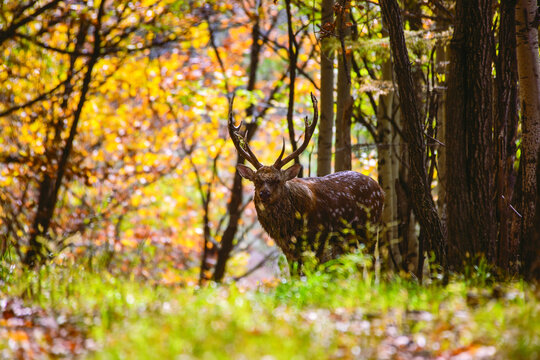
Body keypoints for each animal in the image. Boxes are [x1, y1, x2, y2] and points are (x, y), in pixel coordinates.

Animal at [229, 94, 384, 268]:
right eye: (256, 180)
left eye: (278, 180)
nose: (264, 193)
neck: (288, 228)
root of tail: (381, 190)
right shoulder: (288, 248)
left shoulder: (319, 237)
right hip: (349, 239)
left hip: (370, 228)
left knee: (371, 262)